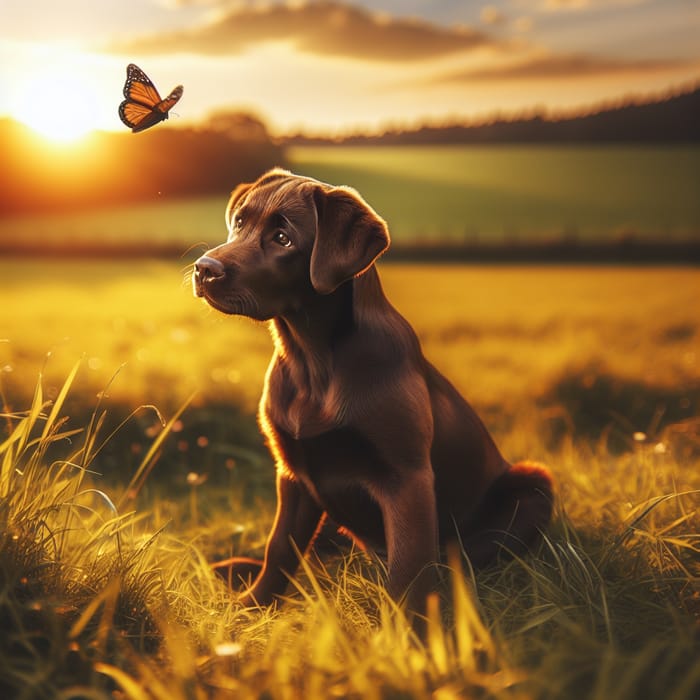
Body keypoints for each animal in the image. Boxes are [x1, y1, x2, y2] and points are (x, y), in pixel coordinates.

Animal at [191, 170, 552, 616]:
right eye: (240, 222)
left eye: (283, 238)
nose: (203, 269)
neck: (312, 360)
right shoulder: (293, 473)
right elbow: (280, 547)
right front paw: (252, 608)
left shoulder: (407, 478)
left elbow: (408, 568)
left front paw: (406, 632)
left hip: (534, 482)